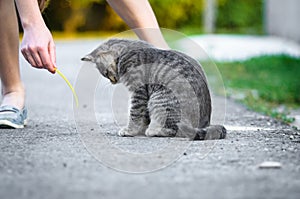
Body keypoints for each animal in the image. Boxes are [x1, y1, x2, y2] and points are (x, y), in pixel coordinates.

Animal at [81, 38, 226, 140]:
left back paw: (153, 130)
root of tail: (204, 124)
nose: (113, 81)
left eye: (106, 73)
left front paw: (130, 131)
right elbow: (143, 116)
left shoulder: (138, 92)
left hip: (159, 99)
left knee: (174, 130)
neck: (126, 52)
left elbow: (135, 114)